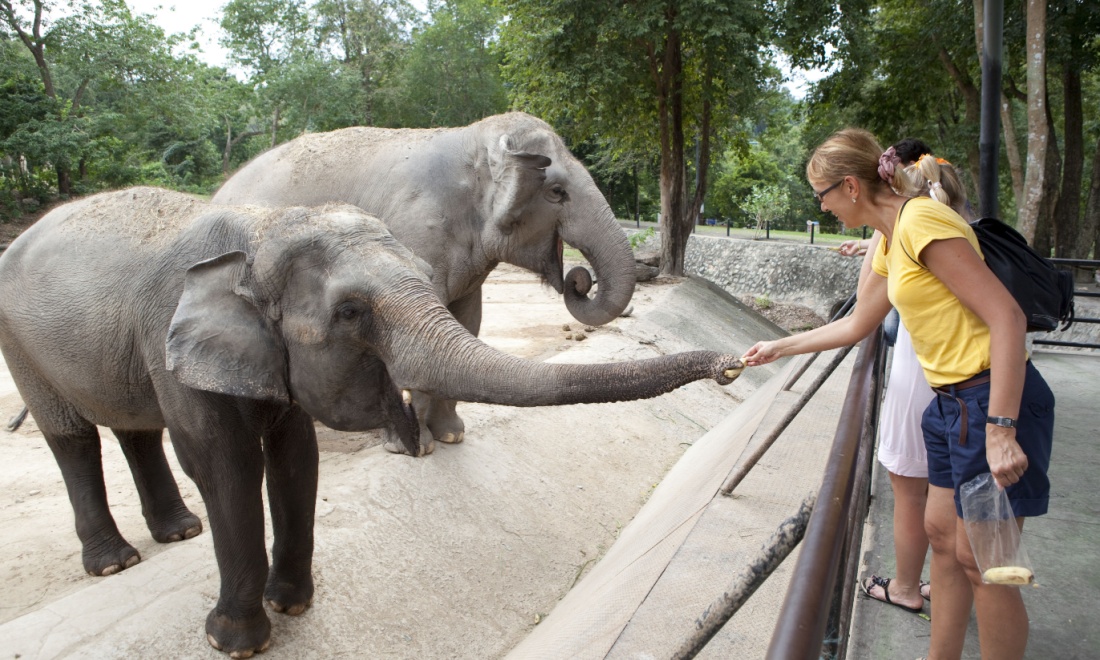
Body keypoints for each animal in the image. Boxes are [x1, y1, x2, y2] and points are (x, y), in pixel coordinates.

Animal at [0, 188, 748, 655]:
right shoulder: (171, 338)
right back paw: (115, 563)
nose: (735, 365)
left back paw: (177, 533)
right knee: (72, 436)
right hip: (21, 344)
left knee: (131, 426)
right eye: (353, 311)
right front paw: (232, 641)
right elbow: (225, 465)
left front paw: (293, 606)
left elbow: (296, 455)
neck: (259, 230)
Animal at [212, 112, 638, 453]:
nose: (579, 280)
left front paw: (452, 436)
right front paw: (415, 447)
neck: (473, 139)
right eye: (557, 192)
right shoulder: (415, 231)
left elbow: (468, 321)